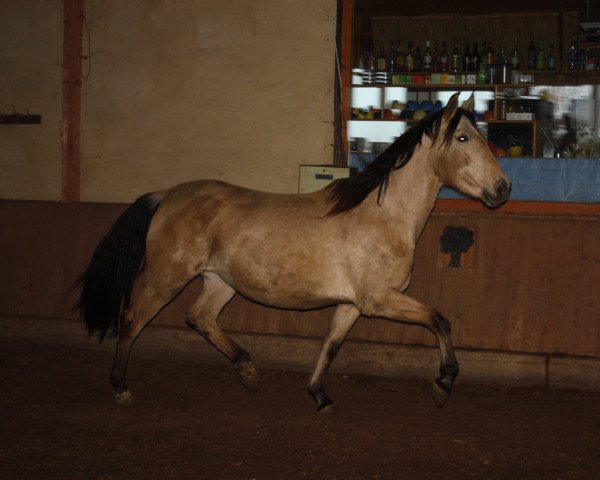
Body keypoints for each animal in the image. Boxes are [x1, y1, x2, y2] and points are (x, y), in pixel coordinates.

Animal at [75, 93, 510, 412]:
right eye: (463, 138)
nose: (503, 188)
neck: (382, 213)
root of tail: (165, 195)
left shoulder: (353, 305)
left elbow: (331, 345)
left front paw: (319, 395)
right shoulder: (380, 300)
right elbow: (440, 320)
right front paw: (443, 383)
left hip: (220, 282)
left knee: (199, 318)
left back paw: (248, 372)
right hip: (167, 277)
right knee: (132, 321)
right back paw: (122, 389)